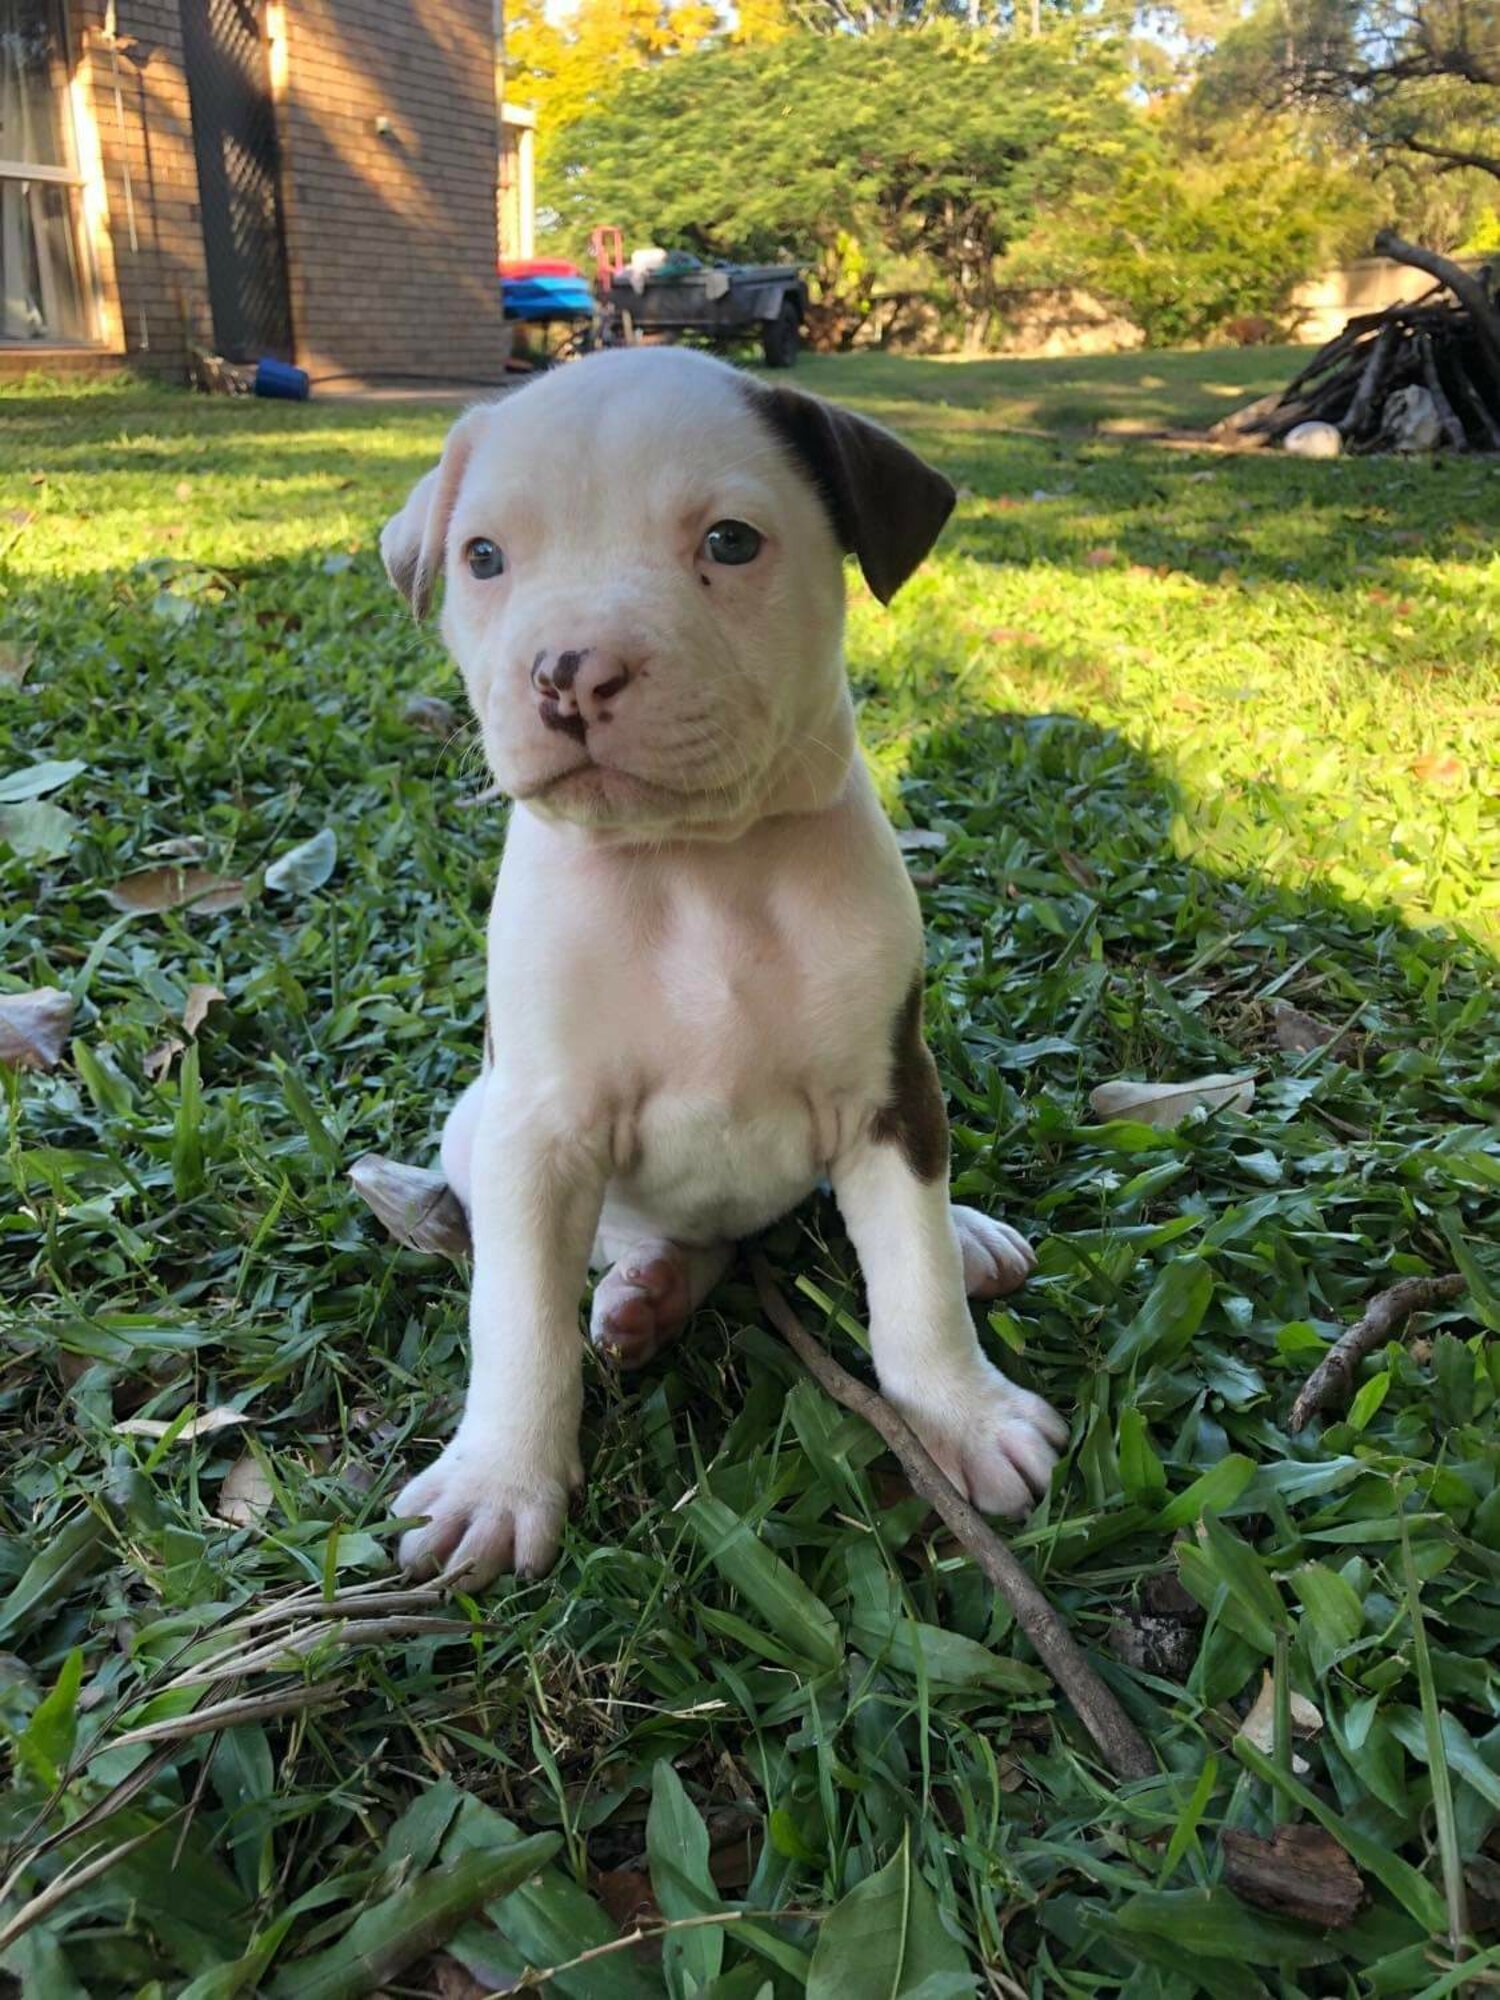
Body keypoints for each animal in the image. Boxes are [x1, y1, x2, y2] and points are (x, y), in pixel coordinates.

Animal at [384, 352, 1072, 1584]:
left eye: (732, 542)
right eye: (484, 558)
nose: (572, 672)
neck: (695, 864)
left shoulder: (890, 1090)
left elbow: (914, 1284)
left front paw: (963, 1412)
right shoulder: (534, 1125)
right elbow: (515, 1316)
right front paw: (498, 1480)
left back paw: (965, 1234)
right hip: (479, 1125)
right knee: (640, 1238)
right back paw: (648, 1289)